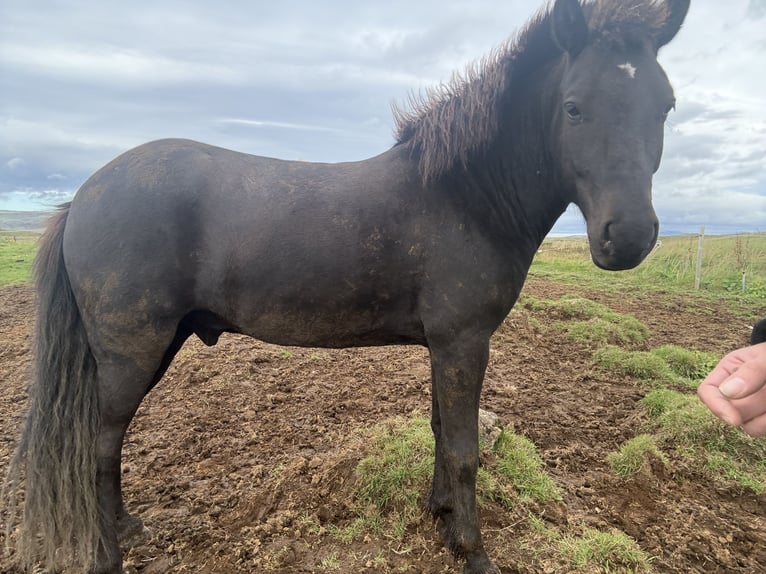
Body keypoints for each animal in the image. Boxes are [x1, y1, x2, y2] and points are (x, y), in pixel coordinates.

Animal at [2, 0, 689, 572]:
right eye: (574, 106)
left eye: (665, 105)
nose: (628, 237)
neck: (462, 196)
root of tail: (86, 195)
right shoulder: (465, 342)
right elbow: (465, 448)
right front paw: (472, 550)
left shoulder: (445, 346)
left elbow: (440, 431)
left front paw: (440, 516)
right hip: (131, 351)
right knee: (98, 444)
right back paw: (106, 554)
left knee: (106, 443)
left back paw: (125, 528)